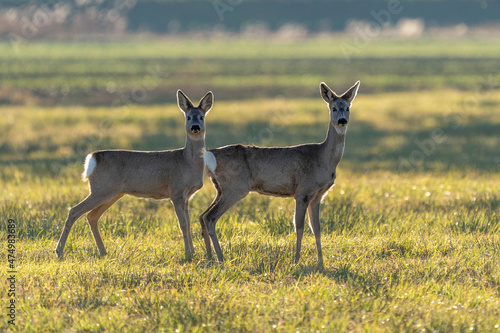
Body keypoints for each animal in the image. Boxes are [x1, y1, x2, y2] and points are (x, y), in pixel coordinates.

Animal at [55, 89, 214, 258]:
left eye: (202, 116)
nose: (195, 127)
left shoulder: (187, 196)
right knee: (74, 211)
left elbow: (189, 222)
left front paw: (193, 252)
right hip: (101, 190)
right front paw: (188, 253)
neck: (187, 162)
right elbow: (183, 224)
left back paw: (103, 251)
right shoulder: (176, 191)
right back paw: (59, 252)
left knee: (91, 216)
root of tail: (92, 158)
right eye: (188, 116)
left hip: (112, 193)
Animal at [199, 81, 360, 266]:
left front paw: (321, 263)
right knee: (210, 217)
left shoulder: (317, 196)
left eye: (347, 107)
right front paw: (296, 261)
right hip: (235, 187)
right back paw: (221, 258)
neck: (323, 158)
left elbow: (317, 228)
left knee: (202, 216)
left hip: (220, 189)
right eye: (333, 108)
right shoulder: (302, 191)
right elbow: (299, 227)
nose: (342, 120)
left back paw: (210, 257)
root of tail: (210, 155)